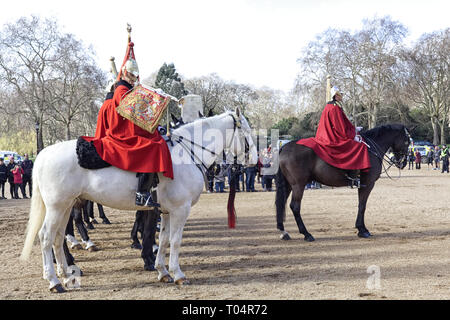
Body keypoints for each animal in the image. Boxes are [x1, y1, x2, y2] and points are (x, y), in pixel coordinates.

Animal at [20, 109, 256, 292]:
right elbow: (174, 241)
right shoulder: (180, 210)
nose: (254, 160)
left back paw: (67, 274)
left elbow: (164, 239)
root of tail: (43, 153)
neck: (186, 153)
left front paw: (162, 271)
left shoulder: (167, 211)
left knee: (58, 238)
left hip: (65, 206)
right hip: (57, 207)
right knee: (46, 237)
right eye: (247, 131)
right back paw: (54, 280)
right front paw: (177, 274)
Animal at [274, 124, 412, 241]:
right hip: (298, 185)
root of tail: (284, 147)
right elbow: (362, 205)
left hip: (288, 185)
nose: (403, 162)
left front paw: (361, 228)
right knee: (295, 206)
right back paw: (306, 234)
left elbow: (361, 205)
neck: (371, 149)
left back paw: (283, 232)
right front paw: (362, 230)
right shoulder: (368, 184)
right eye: (407, 141)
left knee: (281, 204)